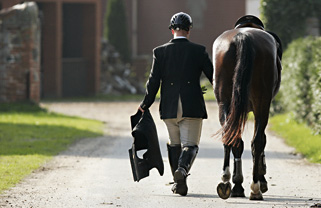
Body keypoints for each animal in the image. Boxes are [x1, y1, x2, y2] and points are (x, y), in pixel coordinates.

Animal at [211, 14, 282, 200]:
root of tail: (243, 37)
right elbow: (261, 141)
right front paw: (261, 180)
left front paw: (237, 184)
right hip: (262, 103)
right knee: (257, 141)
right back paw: (255, 187)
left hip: (224, 102)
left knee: (231, 137)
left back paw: (226, 181)